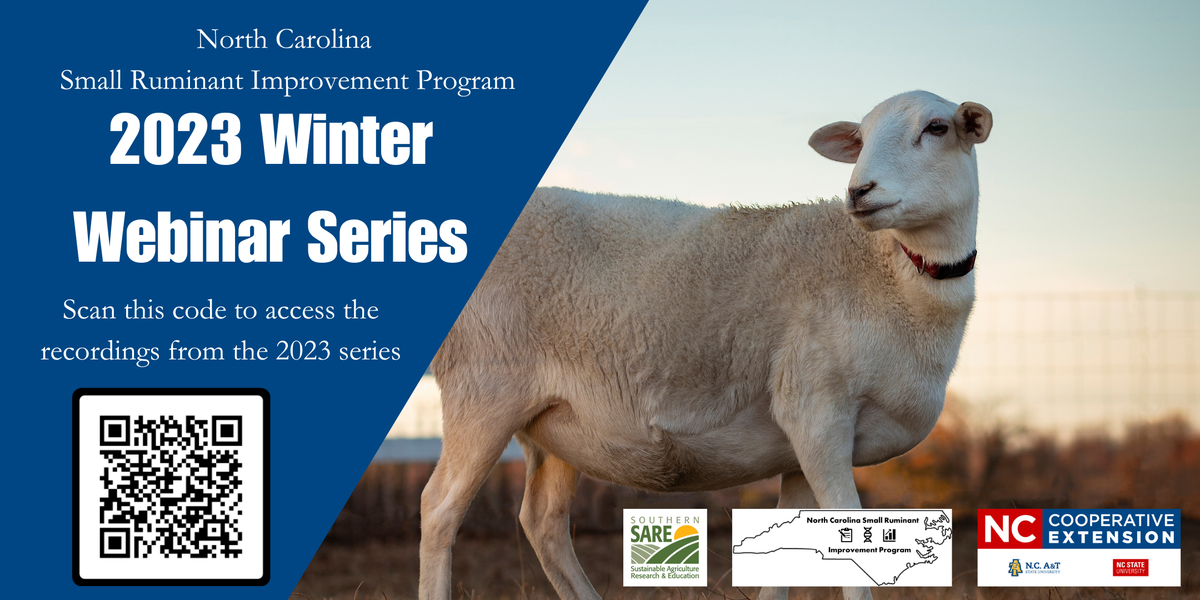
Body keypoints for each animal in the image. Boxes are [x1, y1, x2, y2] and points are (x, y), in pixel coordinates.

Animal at [420, 90, 992, 600]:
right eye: (862, 138)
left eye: (937, 128)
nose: (859, 191)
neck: (891, 272)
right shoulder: (817, 407)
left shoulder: (805, 440)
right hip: (484, 387)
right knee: (439, 509)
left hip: (557, 420)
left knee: (543, 521)